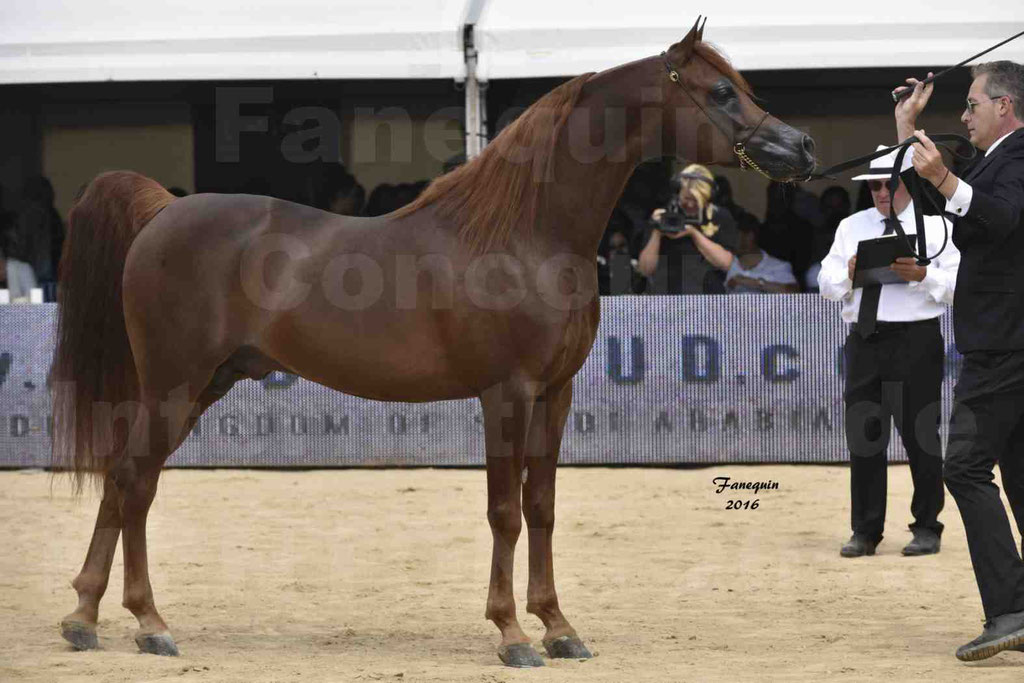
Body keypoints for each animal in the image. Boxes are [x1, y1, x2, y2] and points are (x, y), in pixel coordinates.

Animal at [51, 20, 815, 667]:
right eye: (720, 91)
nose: (800, 148)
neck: (524, 233)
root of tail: (163, 210)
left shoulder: (555, 392)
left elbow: (541, 507)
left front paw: (559, 628)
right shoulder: (505, 392)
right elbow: (504, 511)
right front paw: (512, 635)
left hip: (200, 386)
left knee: (127, 481)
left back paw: (90, 618)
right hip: (174, 384)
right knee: (133, 480)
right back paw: (146, 623)